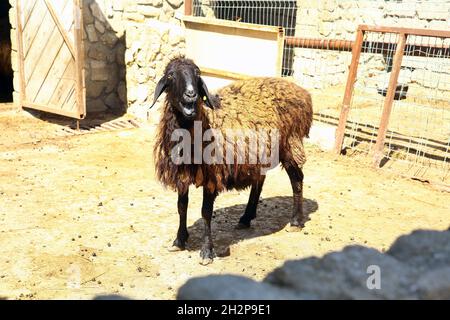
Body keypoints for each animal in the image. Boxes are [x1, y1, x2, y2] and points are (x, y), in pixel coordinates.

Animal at [151, 57, 312, 264]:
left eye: (197, 74)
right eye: (170, 75)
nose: (191, 95)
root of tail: (302, 92)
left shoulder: (212, 175)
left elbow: (205, 212)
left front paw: (206, 251)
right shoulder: (182, 173)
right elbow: (181, 206)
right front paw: (179, 240)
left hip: (290, 144)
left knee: (297, 179)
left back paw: (296, 221)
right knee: (260, 181)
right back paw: (246, 217)